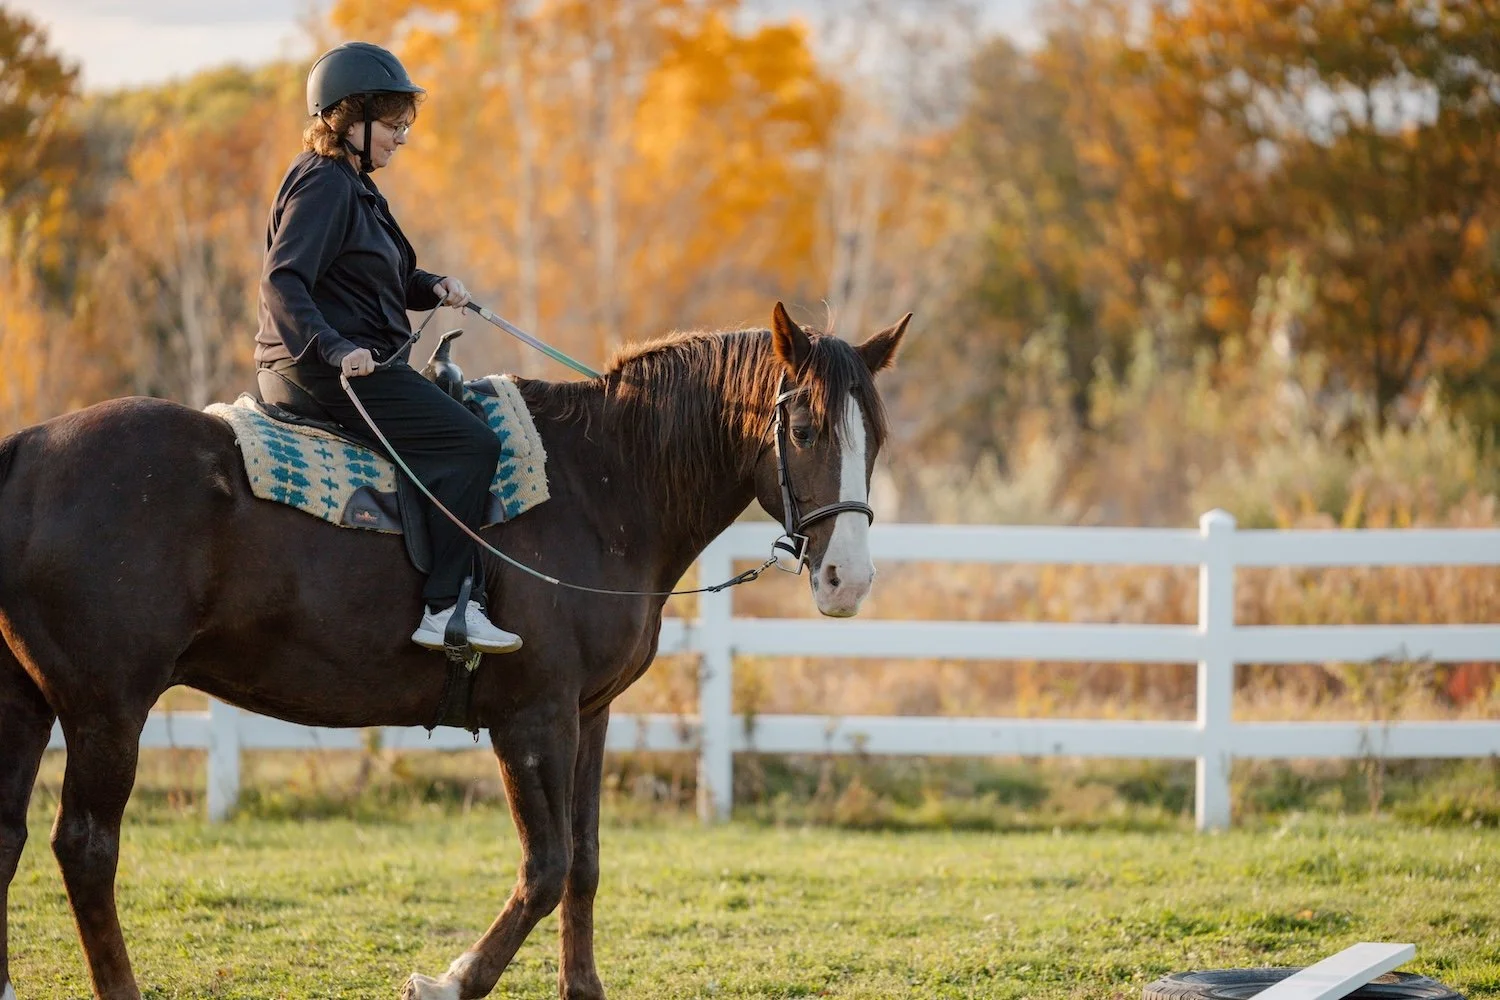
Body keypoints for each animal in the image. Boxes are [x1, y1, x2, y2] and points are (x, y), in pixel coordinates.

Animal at [0, 302, 910, 1000]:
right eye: (804, 426)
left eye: (878, 434)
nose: (849, 580)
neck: (604, 484)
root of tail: (26, 455)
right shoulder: (532, 718)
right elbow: (546, 865)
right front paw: (451, 979)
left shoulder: (589, 715)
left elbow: (584, 864)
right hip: (106, 711)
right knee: (85, 848)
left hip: (28, 701)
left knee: (9, 832)